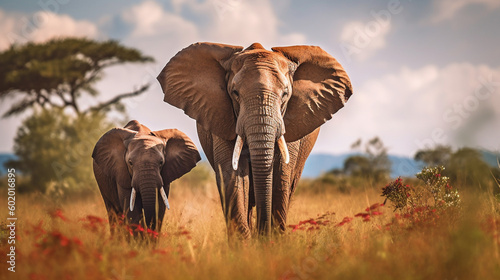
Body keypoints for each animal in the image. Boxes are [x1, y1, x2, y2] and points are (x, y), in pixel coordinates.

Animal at [156, 42, 352, 237]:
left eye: (285, 94)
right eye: (235, 92)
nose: (263, 234)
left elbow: (281, 174)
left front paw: (271, 241)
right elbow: (233, 176)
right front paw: (244, 244)